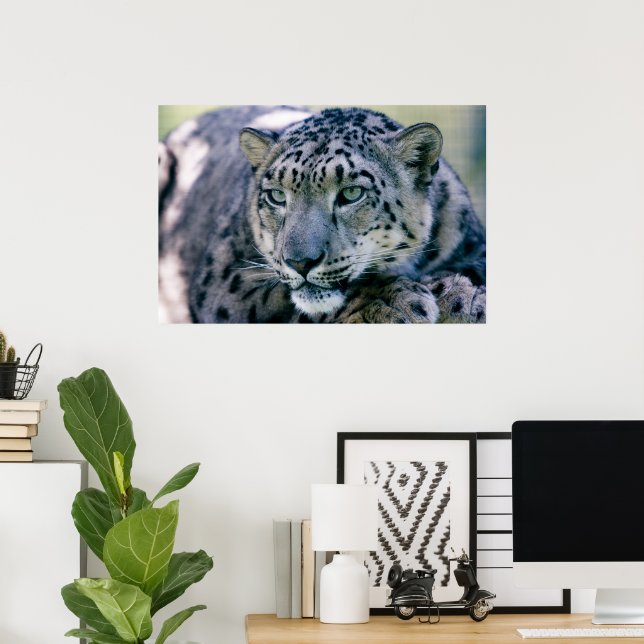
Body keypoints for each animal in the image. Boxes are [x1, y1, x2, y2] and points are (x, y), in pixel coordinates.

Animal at [159, 106, 486, 324]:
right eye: (277, 196)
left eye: (351, 193)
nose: (300, 262)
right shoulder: (225, 281)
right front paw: (392, 300)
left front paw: (461, 295)